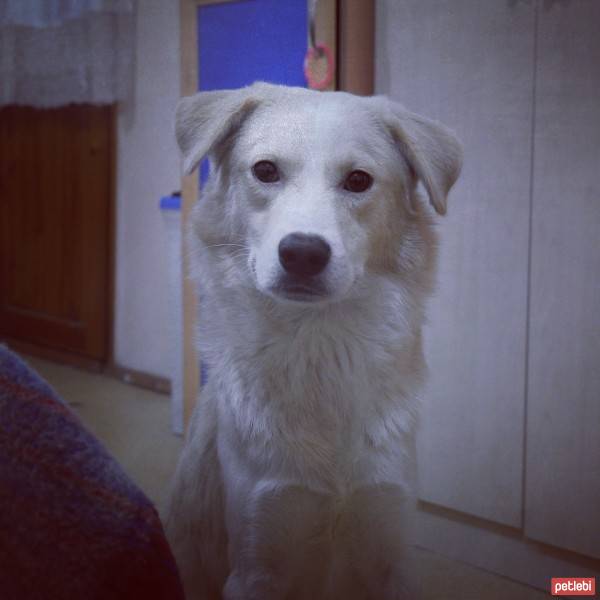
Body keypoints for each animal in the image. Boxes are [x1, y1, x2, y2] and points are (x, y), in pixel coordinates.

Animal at [166, 81, 462, 600]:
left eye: (358, 180)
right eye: (265, 171)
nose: (303, 253)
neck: (319, 344)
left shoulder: (391, 546)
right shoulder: (255, 561)